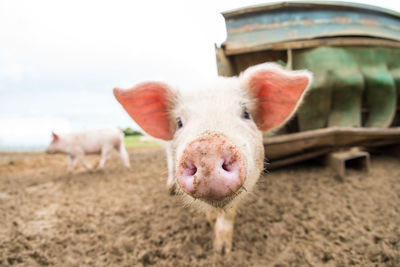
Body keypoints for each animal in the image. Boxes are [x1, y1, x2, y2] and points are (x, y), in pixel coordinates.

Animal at [113, 63, 312, 255]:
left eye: (246, 114)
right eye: (179, 122)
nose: (207, 148)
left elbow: (228, 216)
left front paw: (223, 250)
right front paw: (213, 231)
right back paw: (170, 189)